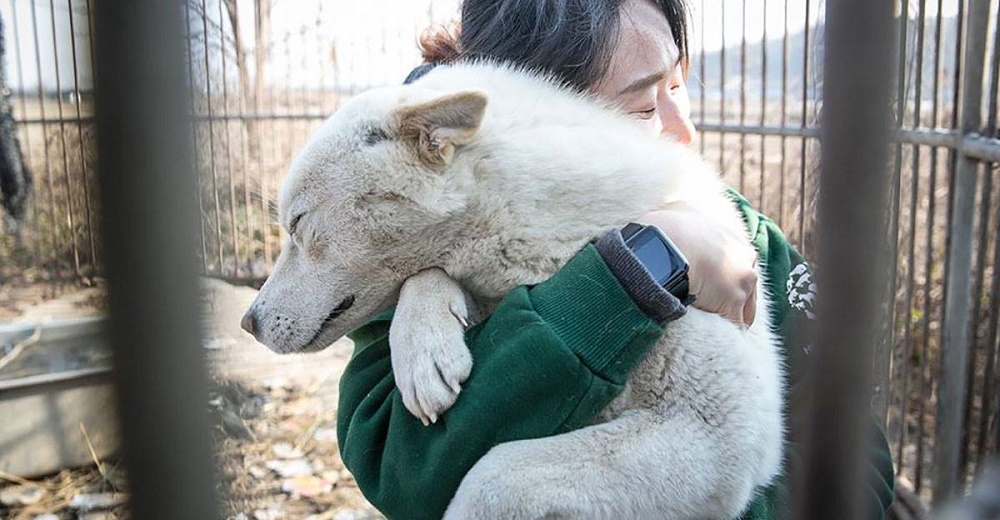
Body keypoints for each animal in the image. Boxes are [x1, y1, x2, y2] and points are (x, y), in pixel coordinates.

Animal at [240, 62, 780, 520]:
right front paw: (423, 352)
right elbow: (425, 277)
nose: (249, 323)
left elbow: (492, 475)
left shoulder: (718, 439)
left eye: (298, 223)